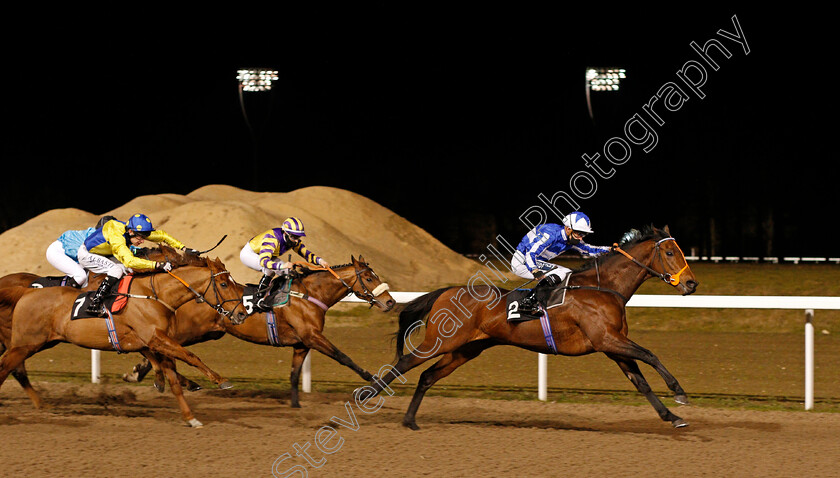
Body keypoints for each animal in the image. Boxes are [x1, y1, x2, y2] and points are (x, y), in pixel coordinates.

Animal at [0, 254, 246, 426]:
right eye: (224, 284)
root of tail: (25, 292)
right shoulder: (156, 338)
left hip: (34, 343)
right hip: (26, 343)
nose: (242, 314)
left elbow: (174, 381)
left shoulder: (157, 343)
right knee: (8, 368)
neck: (154, 294)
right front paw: (221, 380)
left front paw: (190, 417)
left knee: (10, 367)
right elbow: (191, 356)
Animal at [124, 254, 398, 408]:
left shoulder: (301, 343)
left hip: (206, 333)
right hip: (191, 331)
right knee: (162, 347)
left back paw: (146, 375)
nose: (390, 302)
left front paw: (296, 405)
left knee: (162, 349)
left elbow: (294, 374)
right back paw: (144, 374)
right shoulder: (313, 337)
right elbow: (344, 357)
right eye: (370, 278)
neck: (310, 294)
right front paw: (372, 380)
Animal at [364, 227, 700, 430]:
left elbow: (640, 381)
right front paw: (680, 393)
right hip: (442, 341)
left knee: (426, 375)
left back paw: (409, 420)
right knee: (404, 363)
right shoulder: (607, 339)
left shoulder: (612, 345)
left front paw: (672, 416)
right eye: (670, 253)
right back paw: (364, 396)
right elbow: (651, 354)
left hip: (467, 349)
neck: (603, 288)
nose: (691, 284)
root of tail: (447, 292)